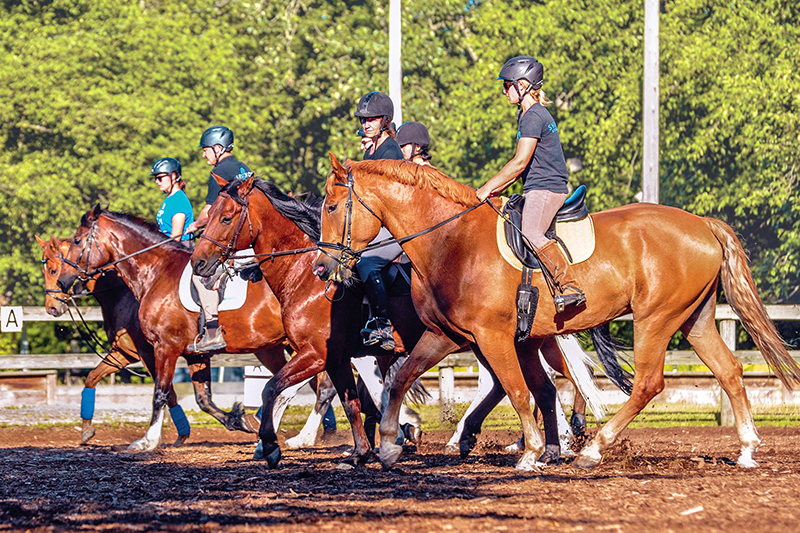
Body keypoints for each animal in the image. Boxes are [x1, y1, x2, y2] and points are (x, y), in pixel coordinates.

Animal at [55, 208, 337, 451]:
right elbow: (204, 400)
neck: (155, 271)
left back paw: (301, 435)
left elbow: (161, 392)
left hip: (301, 344)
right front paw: (237, 420)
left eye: (77, 241)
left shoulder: (164, 347)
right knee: (316, 385)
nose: (62, 282)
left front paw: (148, 441)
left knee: (316, 385)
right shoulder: (195, 354)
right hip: (285, 346)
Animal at [190, 174, 609, 467]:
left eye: (225, 217)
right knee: (519, 386)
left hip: (497, 340)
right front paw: (362, 452)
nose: (199, 263)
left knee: (540, 383)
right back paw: (488, 438)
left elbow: (272, 389)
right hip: (493, 340)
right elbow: (351, 402)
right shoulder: (337, 357)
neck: (308, 274)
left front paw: (272, 447)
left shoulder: (314, 354)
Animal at [314, 155, 800, 471]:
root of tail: (702, 223)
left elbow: (518, 391)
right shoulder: (447, 335)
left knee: (648, 383)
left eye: (333, 207)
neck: (452, 241)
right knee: (730, 370)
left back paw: (592, 450)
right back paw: (747, 450)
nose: (321, 268)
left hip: (656, 319)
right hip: (693, 319)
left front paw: (531, 453)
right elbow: (401, 379)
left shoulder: (493, 337)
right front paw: (390, 448)